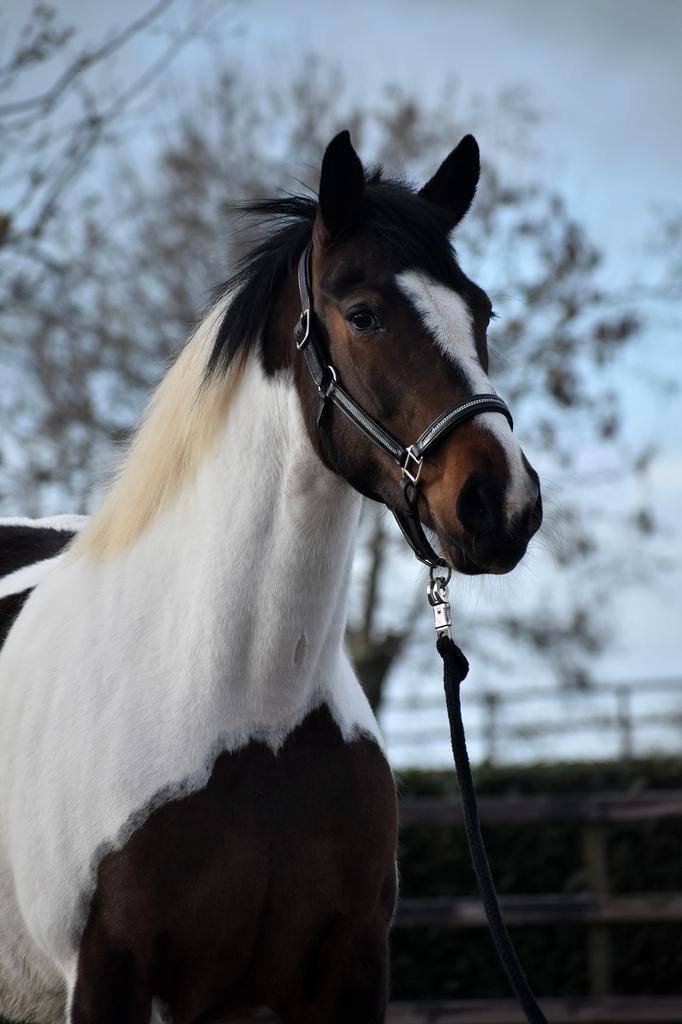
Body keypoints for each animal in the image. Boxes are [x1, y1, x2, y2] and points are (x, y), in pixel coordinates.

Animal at [0, 130, 542, 1024]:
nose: (503, 503)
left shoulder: (350, 971)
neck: (245, 701)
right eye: (363, 314)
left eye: (482, 312)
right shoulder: (107, 979)